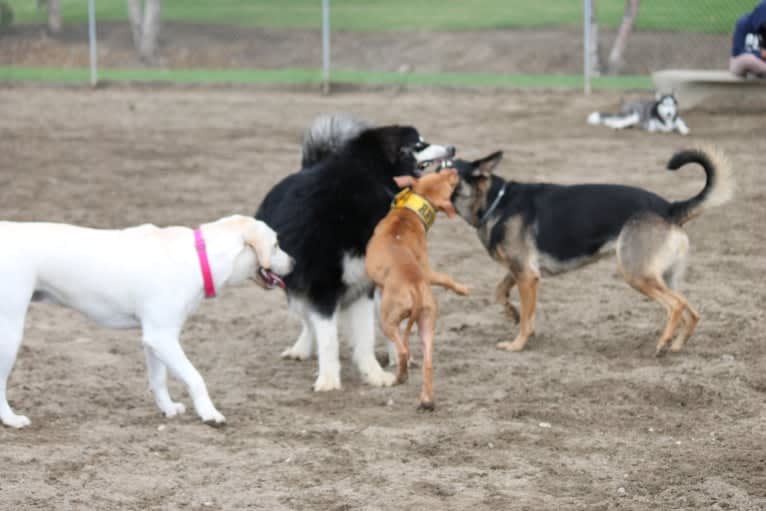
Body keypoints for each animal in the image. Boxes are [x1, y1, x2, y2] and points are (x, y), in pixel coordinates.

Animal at [0, 214, 294, 430]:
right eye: (276, 245)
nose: (294, 263)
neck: (199, 259)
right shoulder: (162, 337)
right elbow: (195, 378)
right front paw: (210, 413)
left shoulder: (155, 339)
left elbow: (158, 379)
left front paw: (168, 409)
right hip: (10, 334)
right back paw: (11, 419)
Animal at [255, 114, 460, 390]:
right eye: (419, 144)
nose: (452, 148)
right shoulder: (321, 286)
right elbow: (327, 337)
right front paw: (329, 380)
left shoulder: (364, 284)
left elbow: (365, 337)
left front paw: (373, 374)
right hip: (294, 284)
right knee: (308, 319)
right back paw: (302, 348)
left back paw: (398, 356)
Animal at [364, 169, 468, 412]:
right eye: (438, 172)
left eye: (450, 183)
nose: (454, 170)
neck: (408, 213)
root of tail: (415, 288)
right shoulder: (427, 271)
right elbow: (446, 278)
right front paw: (463, 289)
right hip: (427, 323)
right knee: (427, 364)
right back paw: (426, 401)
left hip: (388, 320)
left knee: (403, 350)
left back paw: (399, 377)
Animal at [452, 147, 736, 356]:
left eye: (446, 166)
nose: (446, 150)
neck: (496, 202)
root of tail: (669, 207)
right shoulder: (522, 272)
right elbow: (500, 291)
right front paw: (512, 313)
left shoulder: (526, 275)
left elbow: (526, 318)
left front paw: (517, 344)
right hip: (665, 276)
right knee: (691, 310)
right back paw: (676, 345)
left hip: (637, 274)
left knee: (676, 306)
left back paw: (663, 343)